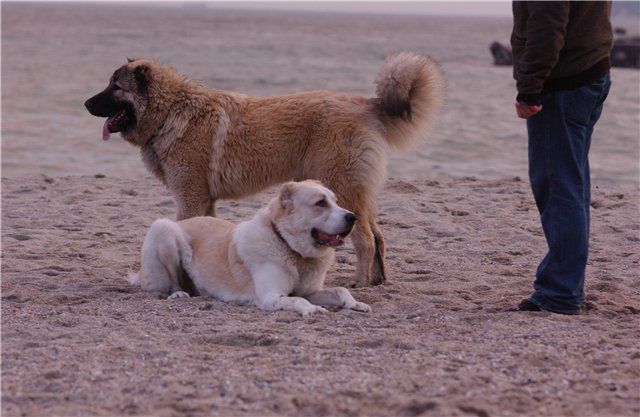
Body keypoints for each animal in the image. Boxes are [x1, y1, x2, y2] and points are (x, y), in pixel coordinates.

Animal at [85, 52, 442, 286]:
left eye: (115, 87)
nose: (86, 104)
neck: (171, 111)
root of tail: (365, 104)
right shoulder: (205, 201)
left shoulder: (189, 198)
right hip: (357, 195)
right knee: (379, 237)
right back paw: (379, 281)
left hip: (343, 189)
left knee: (365, 240)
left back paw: (361, 283)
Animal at [129, 180, 370, 316]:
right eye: (320, 203)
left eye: (336, 202)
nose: (353, 217)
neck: (287, 244)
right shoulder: (270, 297)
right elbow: (297, 300)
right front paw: (310, 309)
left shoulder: (312, 291)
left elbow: (340, 290)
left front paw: (354, 303)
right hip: (164, 229)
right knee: (170, 283)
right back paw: (179, 293)